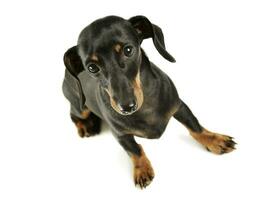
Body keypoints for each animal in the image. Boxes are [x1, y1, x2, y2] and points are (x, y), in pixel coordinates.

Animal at [62, 15, 236, 188]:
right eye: (92, 67)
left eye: (128, 50)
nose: (127, 107)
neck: (145, 107)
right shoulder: (120, 135)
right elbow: (134, 150)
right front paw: (142, 170)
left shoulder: (179, 105)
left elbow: (194, 126)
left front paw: (215, 140)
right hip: (80, 107)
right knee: (73, 114)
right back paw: (86, 126)